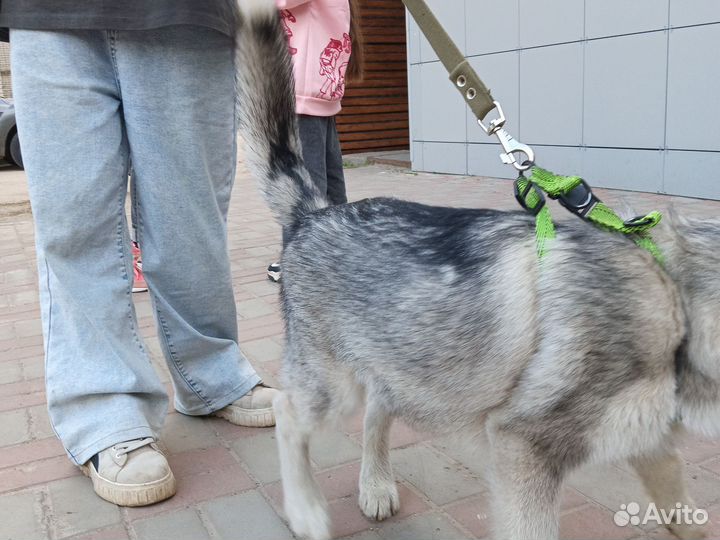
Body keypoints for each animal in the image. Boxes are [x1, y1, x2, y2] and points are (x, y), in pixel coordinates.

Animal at [231, 2, 720, 536]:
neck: (673, 299)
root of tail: (315, 212)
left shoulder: (648, 441)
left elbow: (681, 505)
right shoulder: (523, 448)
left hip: (394, 358)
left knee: (375, 413)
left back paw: (375, 486)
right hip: (333, 386)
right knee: (286, 411)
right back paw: (306, 509)